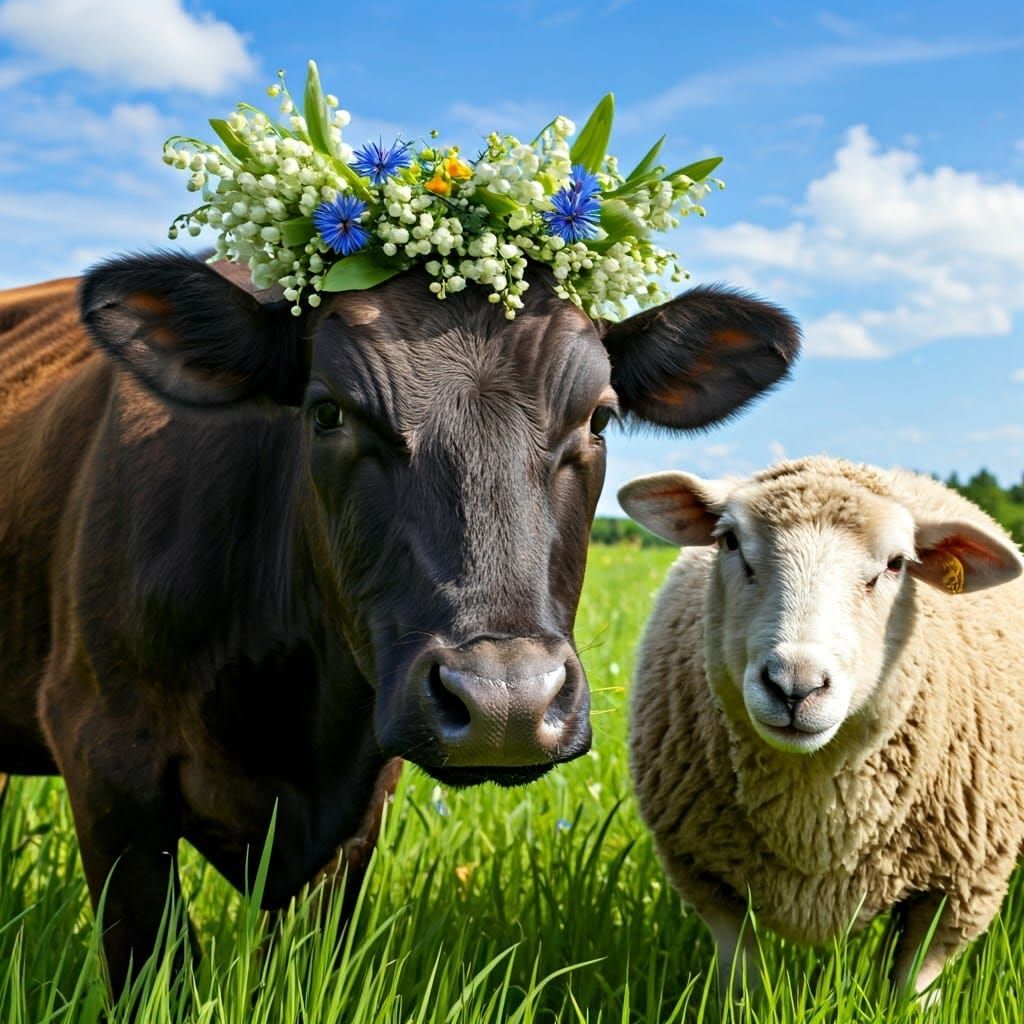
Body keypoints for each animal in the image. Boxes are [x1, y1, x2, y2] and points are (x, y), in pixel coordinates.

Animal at [619, 456, 1024, 999]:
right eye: (730, 541)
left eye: (897, 564)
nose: (795, 685)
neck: (812, 817)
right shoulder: (706, 876)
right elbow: (742, 978)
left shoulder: (957, 889)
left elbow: (911, 986)